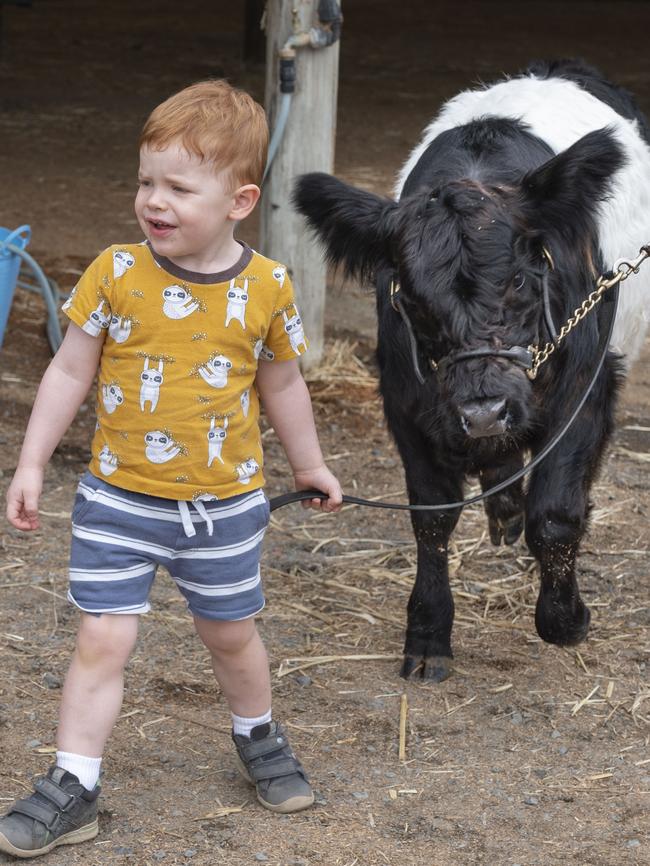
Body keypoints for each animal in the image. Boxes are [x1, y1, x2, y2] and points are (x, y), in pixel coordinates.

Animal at [296, 60, 648, 680]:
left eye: (519, 279)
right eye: (411, 299)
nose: (484, 410)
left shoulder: (585, 386)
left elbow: (555, 514)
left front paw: (564, 620)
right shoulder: (408, 400)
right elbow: (432, 518)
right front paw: (428, 633)